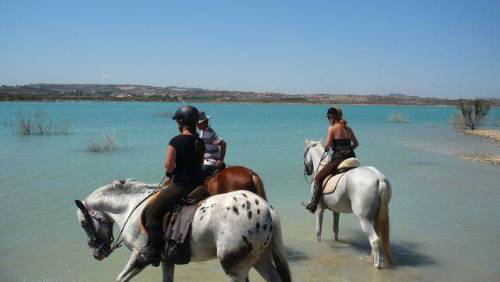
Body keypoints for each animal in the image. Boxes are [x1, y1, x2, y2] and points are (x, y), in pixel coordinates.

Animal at [75, 180, 292, 280]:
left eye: (84, 223)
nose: (98, 253)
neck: (131, 207)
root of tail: (267, 208)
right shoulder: (167, 261)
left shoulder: (140, 256)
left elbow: (120, 278)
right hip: (260, 260)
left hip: (234, 267)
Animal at [302, 140, 392, 268]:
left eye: (305, 153)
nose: (307, 170)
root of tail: (379, 178)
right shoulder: (336, 211)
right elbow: (335, 229)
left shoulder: (319, 209)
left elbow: (318, 231)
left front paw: (319, 242)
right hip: (375, 216)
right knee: (377, 237)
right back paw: (371, 258)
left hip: (363, 218)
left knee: (374, 240)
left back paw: (376, 265)